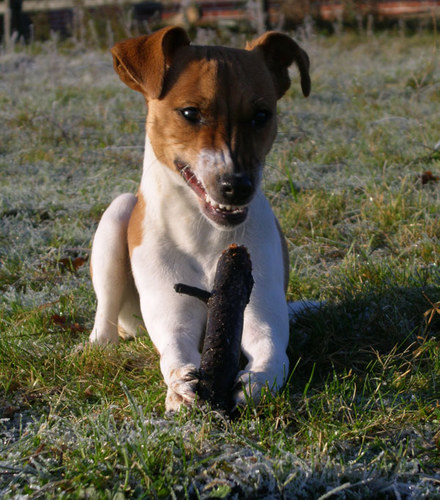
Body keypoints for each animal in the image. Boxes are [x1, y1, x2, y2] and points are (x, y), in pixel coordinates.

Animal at [88, 25, 310, 412]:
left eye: (261, 115)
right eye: (190, 113)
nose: (236, 187)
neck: (204, 233)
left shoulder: (260, 312)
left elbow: (270, 351)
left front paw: (256, 380)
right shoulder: (173, 314)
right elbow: (175, 349)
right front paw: (180, 384)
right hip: (117, 215)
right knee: (105, 314)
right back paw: (102, 344)